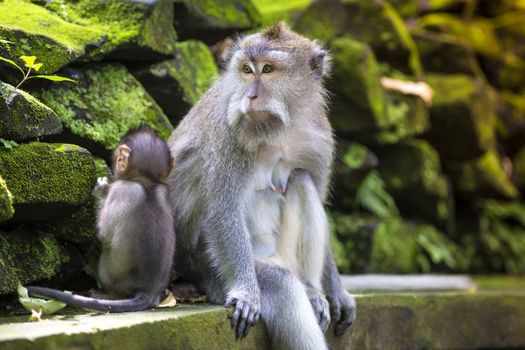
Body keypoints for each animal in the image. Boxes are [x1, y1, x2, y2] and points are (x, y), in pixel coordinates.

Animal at [27, 127, 175, 314]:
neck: (146, 181)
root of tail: (148, 291)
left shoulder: (121, 189)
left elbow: (103, 233)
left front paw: (102, 189)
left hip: (109, 273)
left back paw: (103, 293)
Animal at [168, 22, 356, 350]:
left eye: (268, 69)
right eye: (247, 70)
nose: (251, 95)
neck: (279, 128)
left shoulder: (319, 135)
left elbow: (317, 193)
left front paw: (337, 290)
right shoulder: (227, 134)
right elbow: (223, 211)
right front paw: (247, 293)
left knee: (302, 179)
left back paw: (312, 290)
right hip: (210, 269)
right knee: (282, 284)